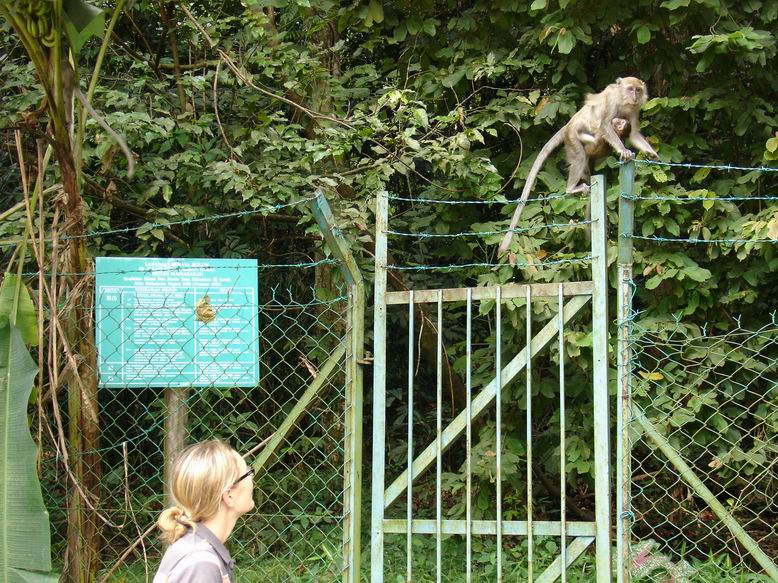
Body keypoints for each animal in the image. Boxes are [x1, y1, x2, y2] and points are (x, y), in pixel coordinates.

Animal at [498, 76, 656, 254]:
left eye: (638, 90)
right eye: (630, 89)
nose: (635, 97)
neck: (623, 102)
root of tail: (568, 124)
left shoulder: (634, 110)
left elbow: (633, 133)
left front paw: (651, 153)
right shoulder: (611, 101)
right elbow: (604, 125)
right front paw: (623, 149)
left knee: (584, 161)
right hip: (571, 137)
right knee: (580, 153)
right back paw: (572, 188)